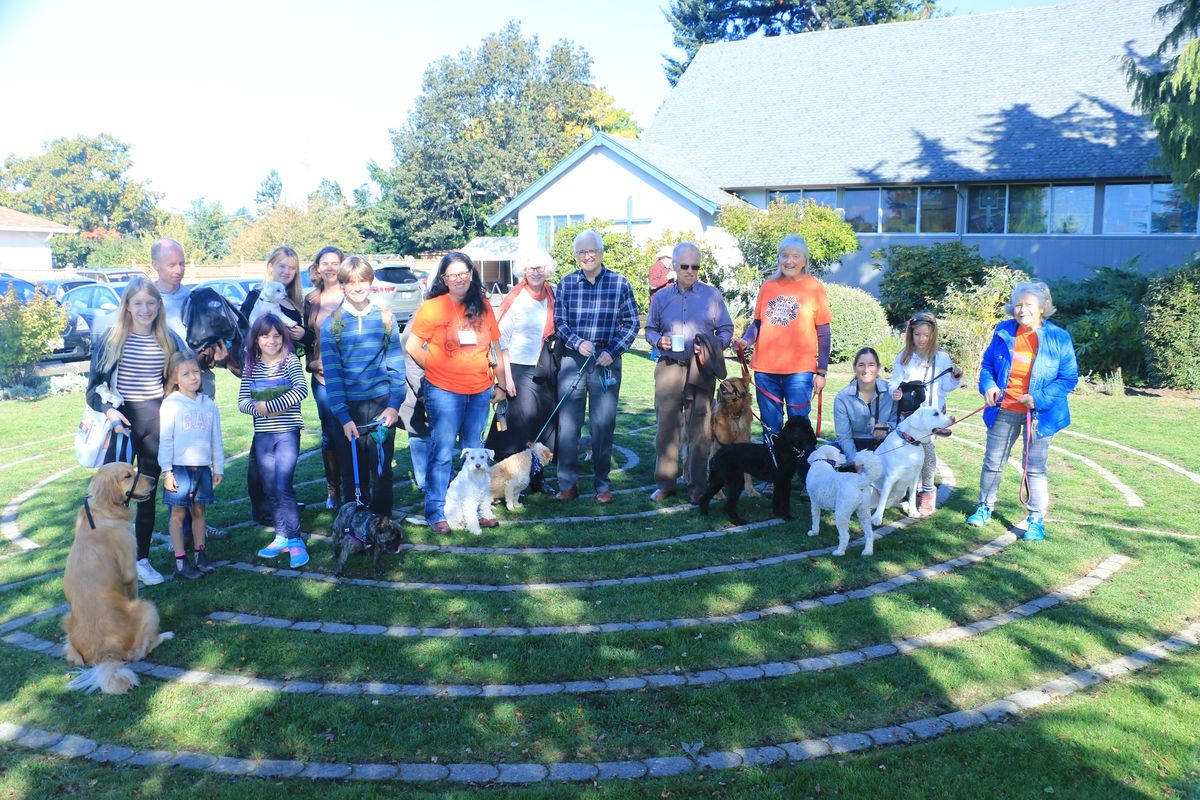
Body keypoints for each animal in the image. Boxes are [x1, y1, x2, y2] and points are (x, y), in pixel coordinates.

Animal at [62, 462, 174, 695]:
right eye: (127, 476)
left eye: (134, 469)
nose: (154, 480)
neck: (103, 510)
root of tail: (105, 656)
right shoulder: (130, 572)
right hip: (148, 608)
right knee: (140, 652)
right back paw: (165, 635)